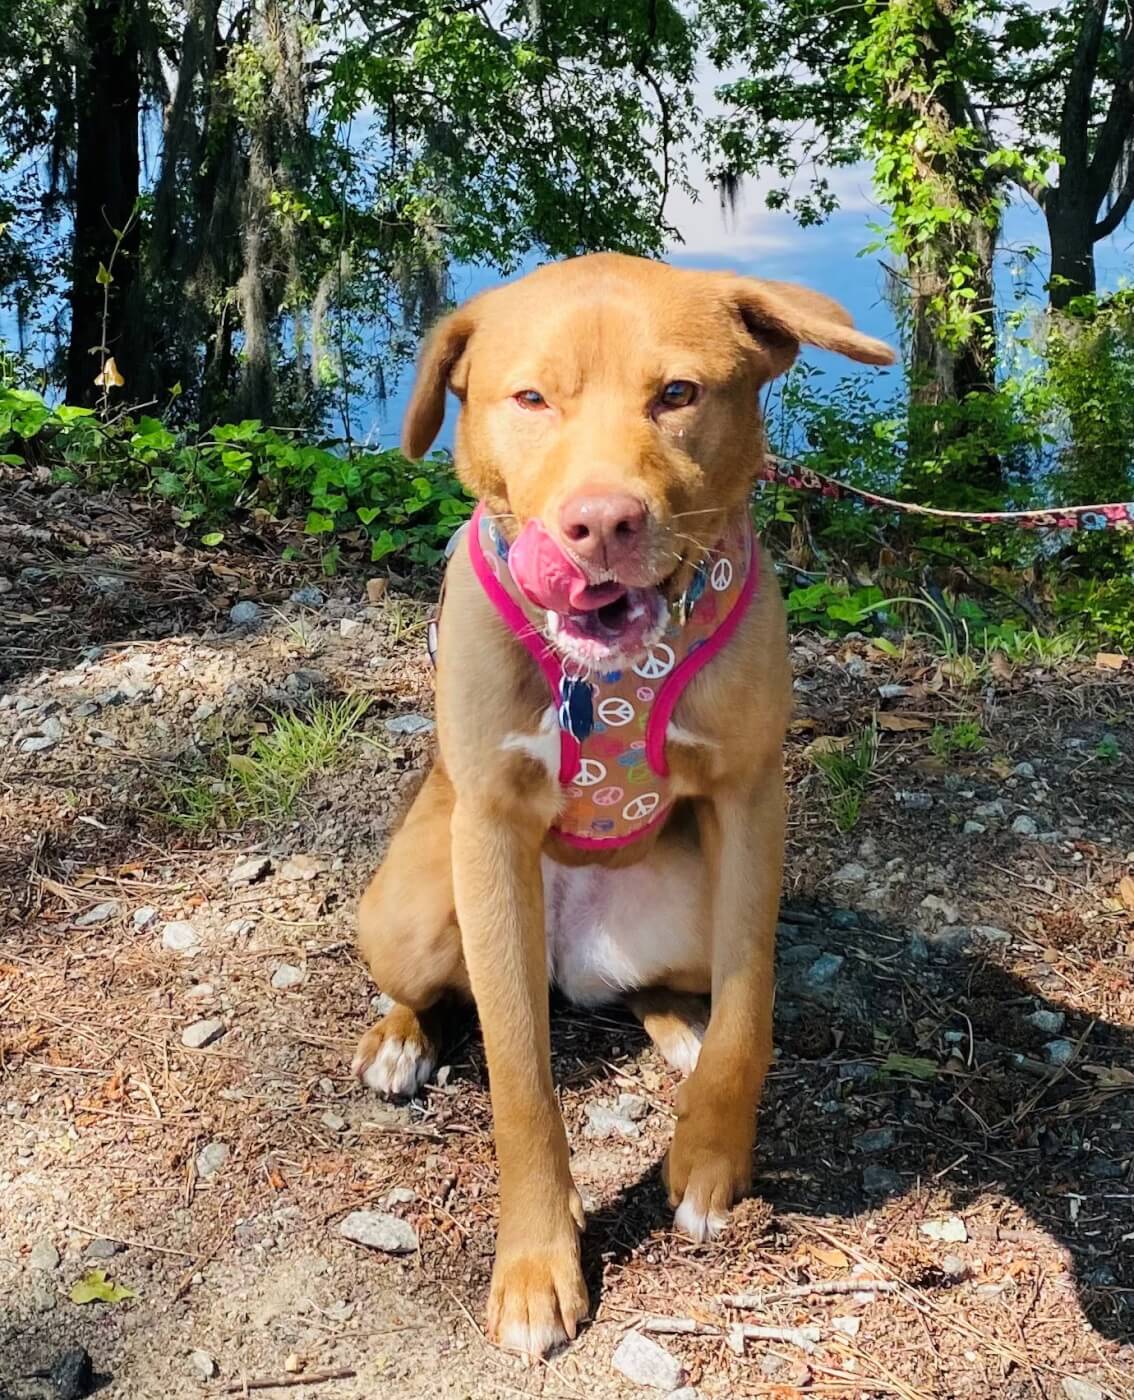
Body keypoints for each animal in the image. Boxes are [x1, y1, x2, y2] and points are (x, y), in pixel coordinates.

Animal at [348, 252, 890, 1355]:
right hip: (417, 908)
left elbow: (752, 1005)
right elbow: (519, 1081)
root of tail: (571, 955)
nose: (600, 523)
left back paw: (678, 1025)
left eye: (678, 393)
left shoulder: (750, 797)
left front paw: (712, 1159)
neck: (611, 674)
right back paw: (399, 1039)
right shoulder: (490, 831)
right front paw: (535, 1263)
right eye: (530, 399)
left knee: (662, 987)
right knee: (424, 983)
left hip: (687, 901)